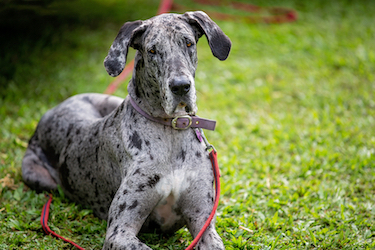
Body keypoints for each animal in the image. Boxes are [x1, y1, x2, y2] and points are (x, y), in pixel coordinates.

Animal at [22, 10, 232, 249]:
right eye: (152, 50)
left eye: (188, 43)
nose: (180, 86)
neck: (170, 131)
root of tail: (53, 109)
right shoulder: (119, 231)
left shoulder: (203, 223)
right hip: (37, 176)